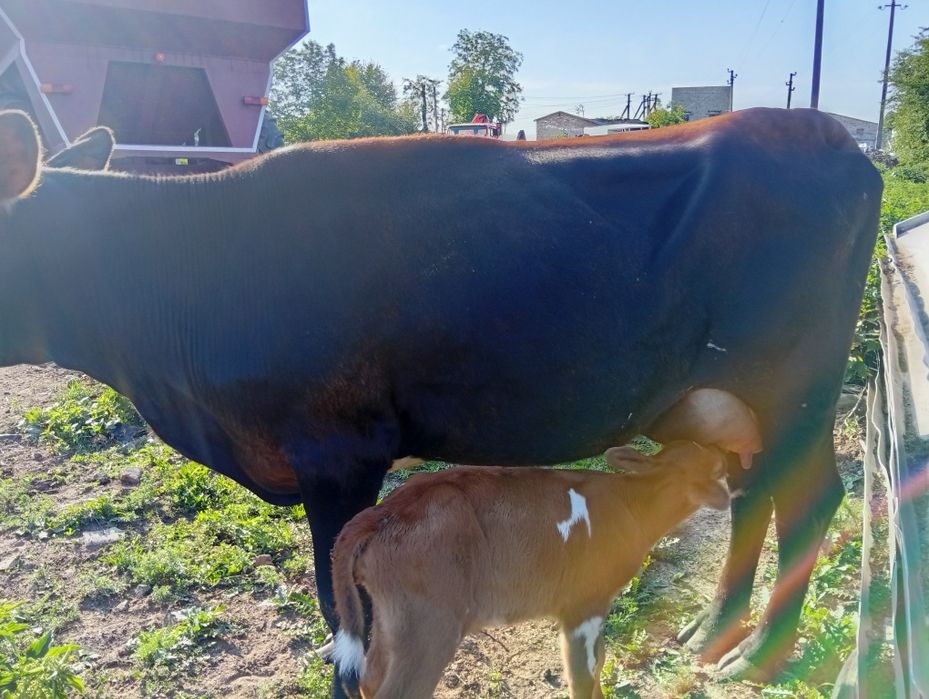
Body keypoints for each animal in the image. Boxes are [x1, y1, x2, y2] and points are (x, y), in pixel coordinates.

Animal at [0, 107, 880, 696]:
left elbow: (343, 624)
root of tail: (823, 134)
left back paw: (758, 654)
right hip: (736, 400)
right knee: (752, 489)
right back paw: (711, 632)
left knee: (808, 495)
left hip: (798, 385)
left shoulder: (337, 454)